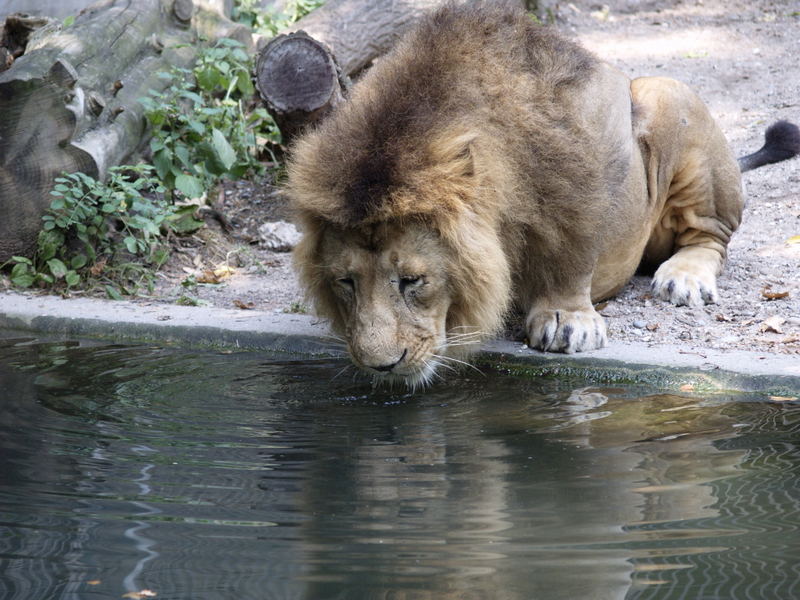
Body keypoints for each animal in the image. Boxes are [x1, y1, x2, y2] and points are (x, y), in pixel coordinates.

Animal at [288, 2, 800, 386]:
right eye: (345, 282)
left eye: (413, 280)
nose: (381, 366)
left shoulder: (582, 148)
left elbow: (570, 249)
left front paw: (566, 321)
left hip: (667, 93)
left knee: (710, 237)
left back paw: (684, 277)